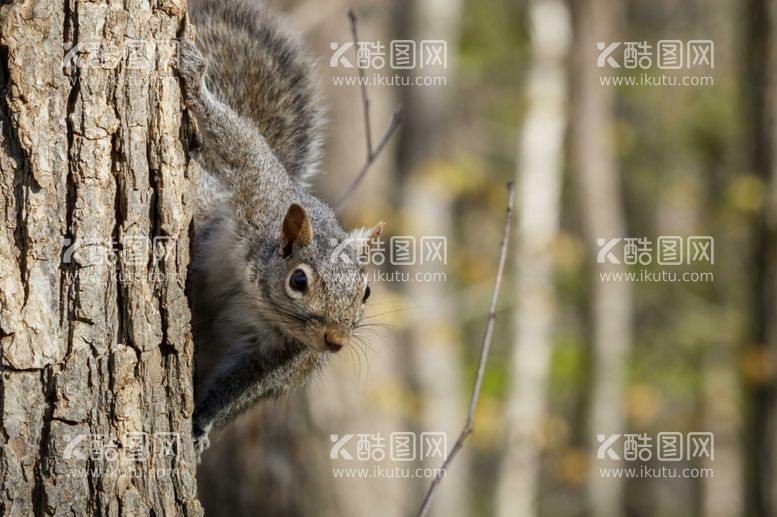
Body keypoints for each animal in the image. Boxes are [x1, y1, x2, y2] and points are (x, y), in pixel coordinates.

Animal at [176, 0, 382, 460]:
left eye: (366, 292)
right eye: (298, 281)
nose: (336, 341)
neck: (257, 299)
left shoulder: (282, 354)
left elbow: (244, 387)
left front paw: (200, 424)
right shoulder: (260, 189)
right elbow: (239, 141)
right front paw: (195, 81)